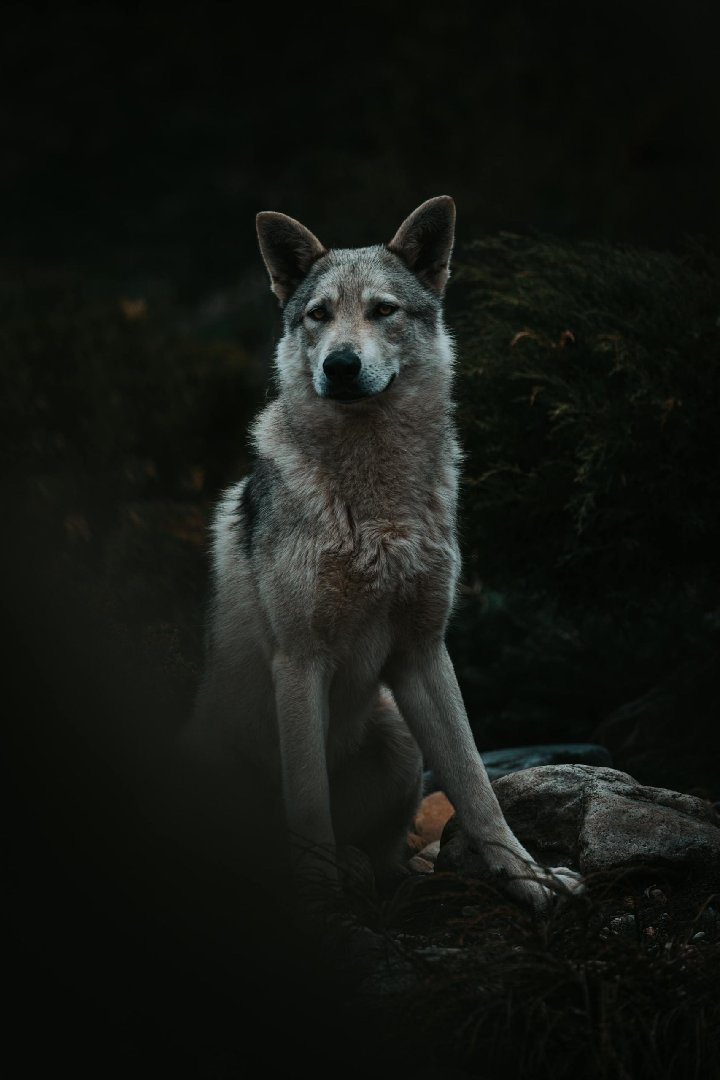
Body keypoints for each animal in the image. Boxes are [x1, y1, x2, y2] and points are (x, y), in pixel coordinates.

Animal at [185, 196, 582, 915]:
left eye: (383, 310)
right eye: (318, 314)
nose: (340, 365)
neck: (376, 509)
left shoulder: (423, 654)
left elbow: (477, 788)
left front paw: (531, 879)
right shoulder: (300, 662)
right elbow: (307, 801)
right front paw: (318, 904)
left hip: (397, 739)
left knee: (391, 854)